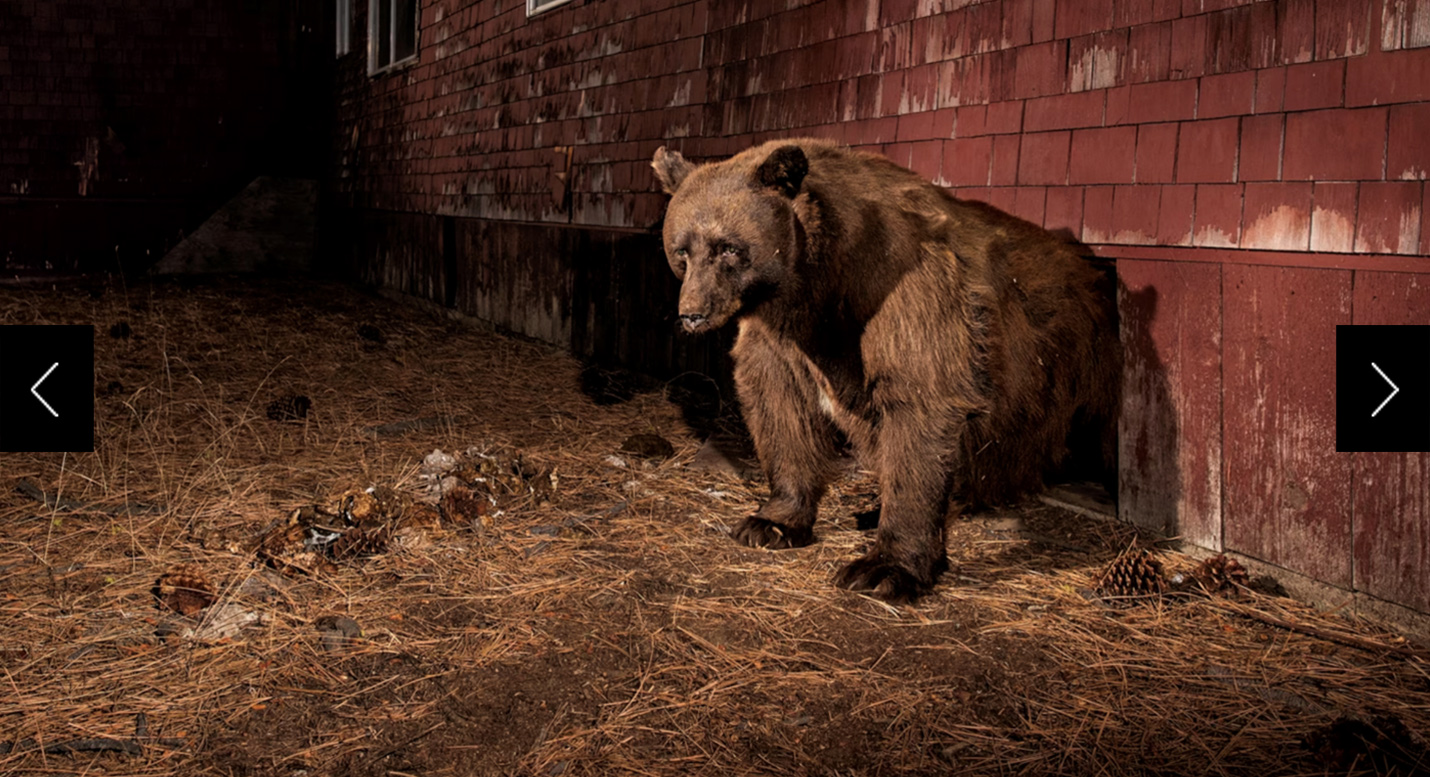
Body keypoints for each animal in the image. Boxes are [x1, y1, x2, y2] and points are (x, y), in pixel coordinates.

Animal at [654, 138, 1121, 600]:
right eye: (682, 250)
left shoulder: (902, 292)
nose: (692, 313)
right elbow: (780, 406)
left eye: (729, 248)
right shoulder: (782, 338)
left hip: (1082, 364)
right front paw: (771, 522)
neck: (817, 286)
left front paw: (883, 568)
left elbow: (921, 404)